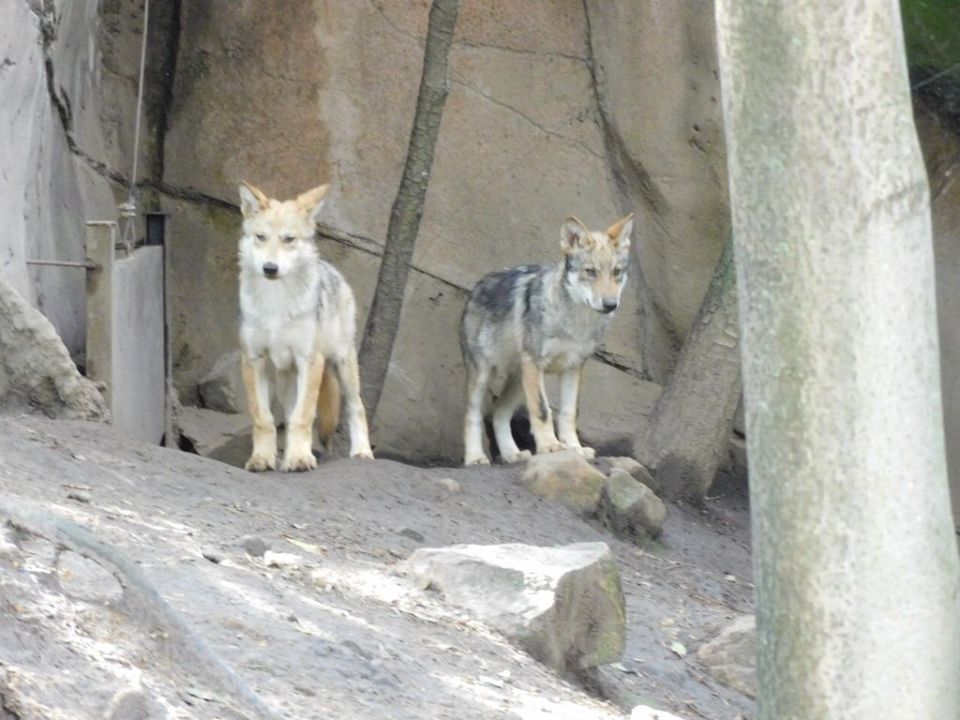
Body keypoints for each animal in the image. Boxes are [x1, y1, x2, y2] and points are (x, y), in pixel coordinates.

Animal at [236, 180, 376, 472]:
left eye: (289, 239)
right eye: (260, 237)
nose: (270, 268)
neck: (276, 304)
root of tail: (330, 268)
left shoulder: (310, 360)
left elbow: (303, 417)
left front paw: (300, 459)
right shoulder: (253, 360)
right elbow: (263, 419)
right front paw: (262, 459)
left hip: (342, 364)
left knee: (356, 407)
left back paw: (362, 452)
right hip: (285, 379)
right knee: (287, 417)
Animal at [462, 212, 632, 466]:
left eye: (616, 272)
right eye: (590, 271)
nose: (611, 304)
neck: (575, 323)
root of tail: (477, 286)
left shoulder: (573, 367)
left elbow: (568, 413)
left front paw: (574, 448)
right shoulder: (535, 363)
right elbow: (543, 411)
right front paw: (551, 447)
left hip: (520, 382)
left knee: (498, 412)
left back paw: (512, 454)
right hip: (485, 375)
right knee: (473, 414)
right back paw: (475, 457)